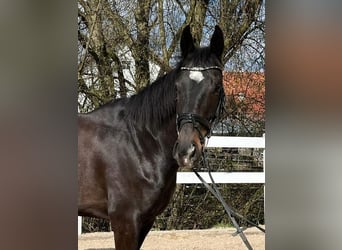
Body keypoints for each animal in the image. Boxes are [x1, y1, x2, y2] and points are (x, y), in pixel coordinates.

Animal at [79, 24, 226, 249]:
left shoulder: (146, 221)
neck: (139, 143)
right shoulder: (125, 221)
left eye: (216, 88)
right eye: (177, 88)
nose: (185, 151)